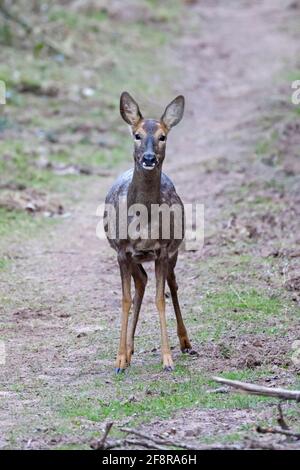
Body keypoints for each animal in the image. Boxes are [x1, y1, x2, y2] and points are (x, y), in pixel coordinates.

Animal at [104, 91, 196, 370]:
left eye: (162, 136)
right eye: (137, 134)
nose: (148, 158)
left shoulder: (163, 249)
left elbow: (160, 298)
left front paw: (167, 359)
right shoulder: (122, 250)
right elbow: (125, 300)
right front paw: (119, 359)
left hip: (173, 251)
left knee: (172, 285)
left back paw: (185, 342)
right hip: (135, 257)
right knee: (141, 283)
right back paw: (129, 351)